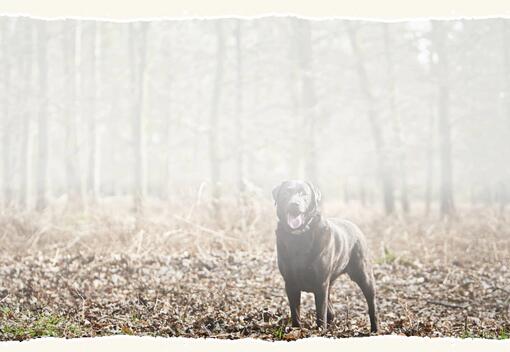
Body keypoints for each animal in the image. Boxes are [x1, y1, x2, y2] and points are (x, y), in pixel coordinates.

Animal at [272, 180, 376, 332]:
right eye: (286, 192)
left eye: (304, 194)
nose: (294, 204)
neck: (299, 236)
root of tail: (355, 227)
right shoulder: (290, 283)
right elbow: (295, 312)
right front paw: (296, 330)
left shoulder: (320, 283)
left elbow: (321, 314)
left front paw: (321, 330)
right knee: (331, 310)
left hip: (363, 275)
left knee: (371, 303)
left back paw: (375, 328)